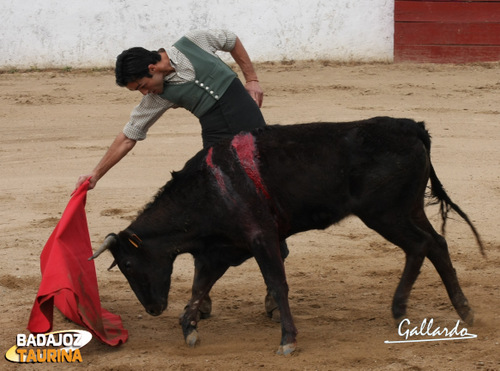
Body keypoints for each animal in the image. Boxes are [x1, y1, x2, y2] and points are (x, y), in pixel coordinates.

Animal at [92, 117, 482, 356]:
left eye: (129, 264)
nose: (153, 309)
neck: (209, 189)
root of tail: (411, 127)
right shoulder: (219, 251)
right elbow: (199, 287)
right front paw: (188, 328)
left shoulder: (261, 237)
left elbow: (277, 285)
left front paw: (288, 341)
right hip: (408, 209)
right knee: (436, 244)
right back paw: (463, 310)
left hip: (385, 215)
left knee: (420, 245)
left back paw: (401, 308)